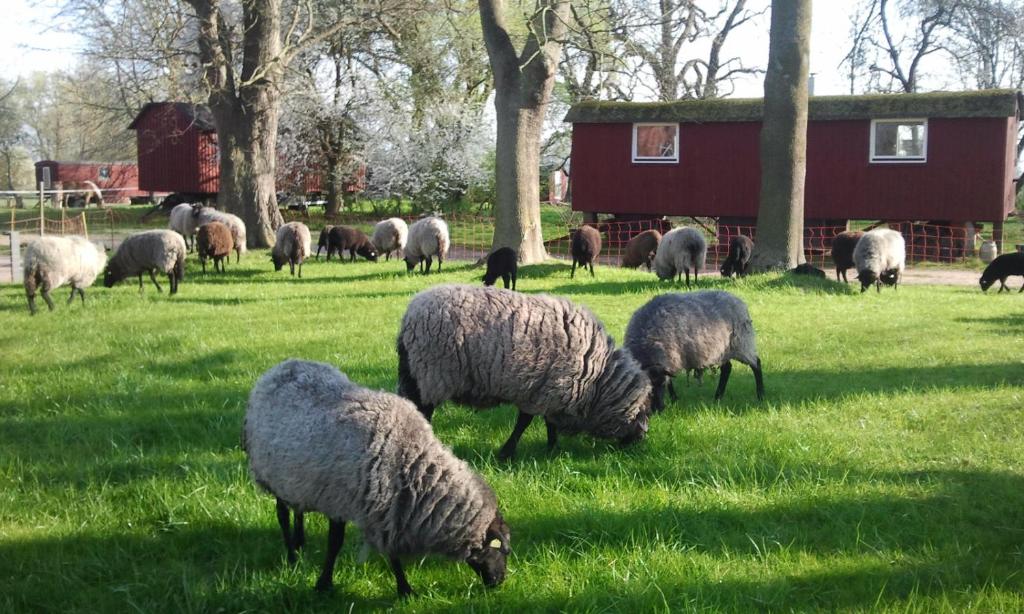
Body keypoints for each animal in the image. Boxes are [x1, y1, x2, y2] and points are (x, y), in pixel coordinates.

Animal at [243, 358, 507, 597]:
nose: (501, 581)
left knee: (297, 509)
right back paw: (291, 555)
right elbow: (335, 543)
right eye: (502, 550)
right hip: (269, 473)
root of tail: (279, 367)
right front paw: (324, 583)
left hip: (295, 479)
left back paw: (299, 542)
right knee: (282, 515)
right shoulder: (342, 501)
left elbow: (391, 552)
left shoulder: (388, 511)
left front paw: (404, 589)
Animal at [395, 284, 651, 458]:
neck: (597, 378)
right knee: (423, 411)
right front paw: (508, 452)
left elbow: (547, 423)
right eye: (643, 412)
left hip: (414, 374)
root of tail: (409, 316)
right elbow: (525, 422)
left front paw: (551, 449)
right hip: (431, 373)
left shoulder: (548, 393)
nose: (641, 440)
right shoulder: (544, 390)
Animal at [618, 288, 765, 413]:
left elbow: (670, 381)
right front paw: (674, 398)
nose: (658, 409)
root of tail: (738, 300)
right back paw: (718, 396)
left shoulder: (671, 358)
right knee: (727, 368)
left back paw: (760, 394)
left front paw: (674, 398)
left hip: (742, 343)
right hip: (723, 350)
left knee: (756, 364)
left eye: (661, 385)